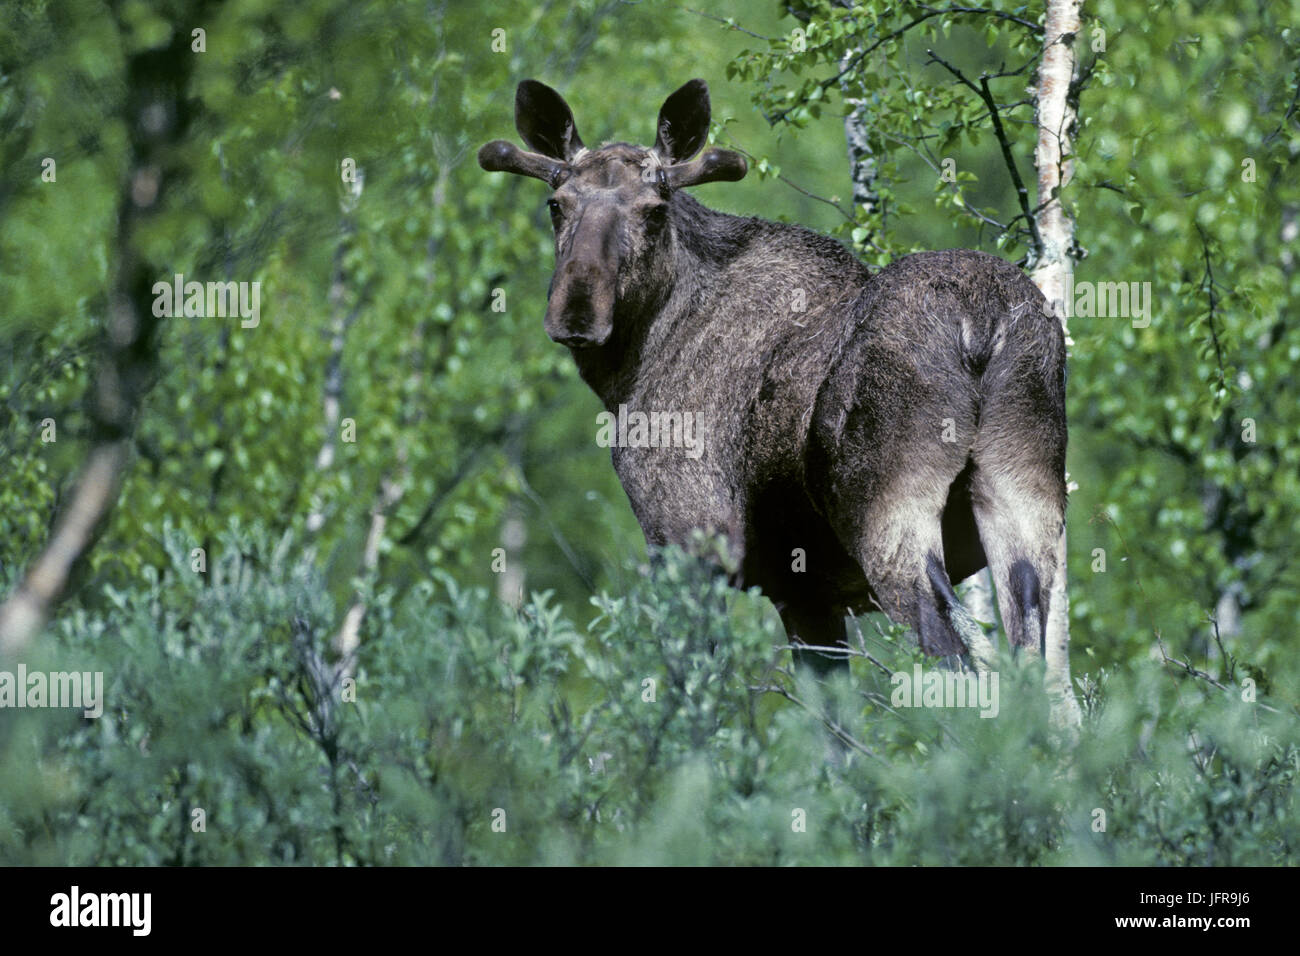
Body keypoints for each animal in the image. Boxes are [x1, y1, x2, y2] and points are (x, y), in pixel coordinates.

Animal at [478, 78, 1066, 676]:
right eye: (556, 204)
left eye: (654, 211)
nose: (576, 312)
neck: (629, 374)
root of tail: (982, 324)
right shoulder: (805, 594)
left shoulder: (690, 542)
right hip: (1027, 511)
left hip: (892, 521)